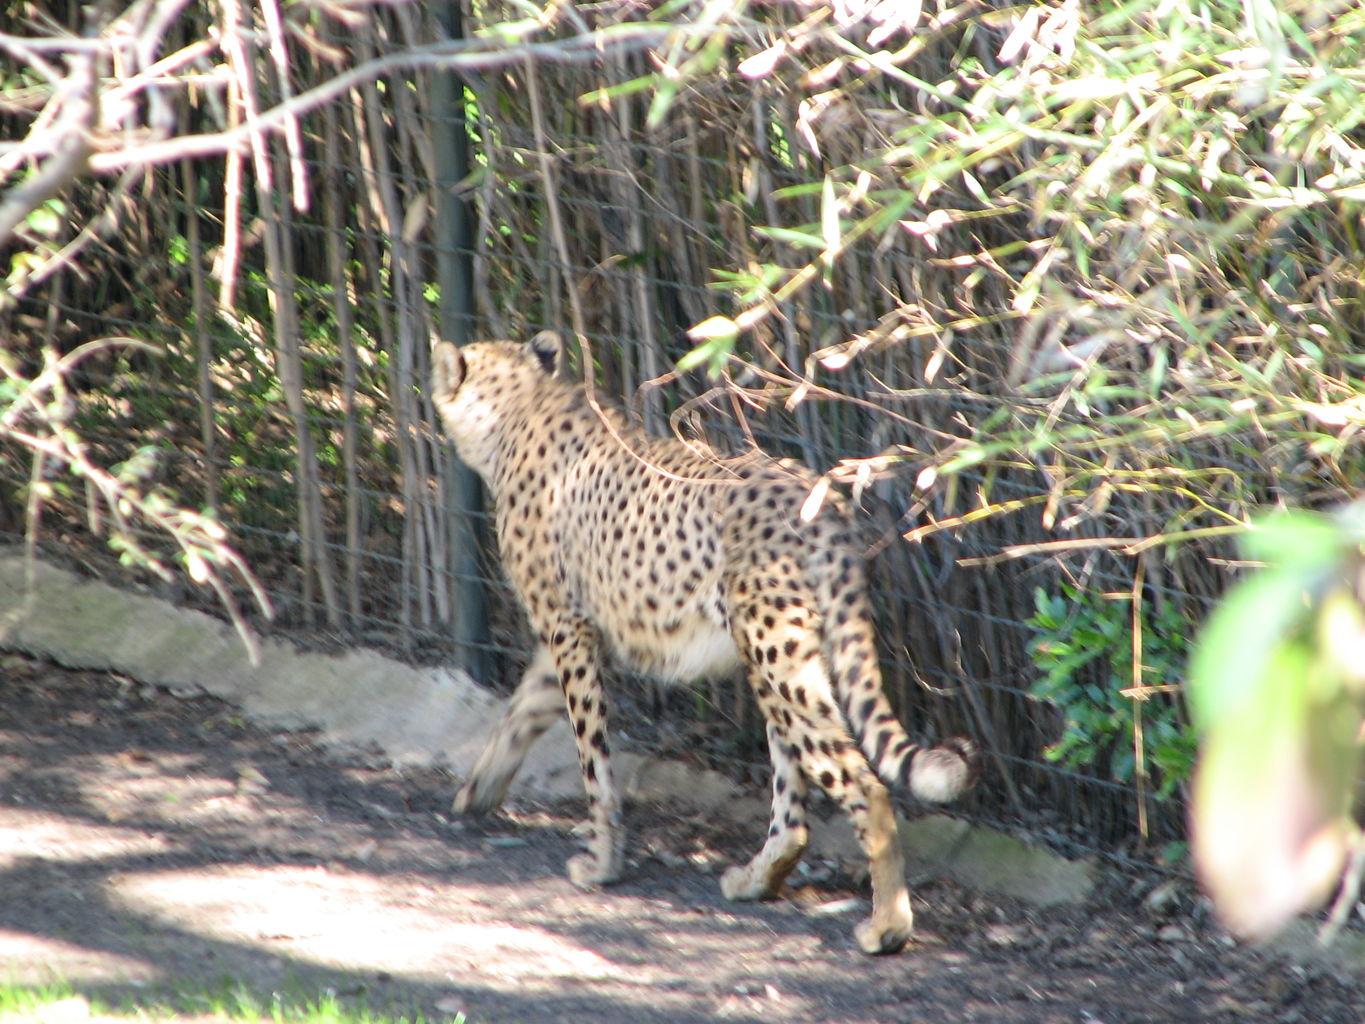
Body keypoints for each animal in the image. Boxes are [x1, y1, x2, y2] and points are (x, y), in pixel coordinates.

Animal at [431, 330, 977, 955]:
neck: (521, 404)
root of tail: (817, 494)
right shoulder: (571, 638)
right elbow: (519, 714)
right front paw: (478, 790)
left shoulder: (569, 631)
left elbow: (592, 758)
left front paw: (601, 863)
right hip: (781, 657)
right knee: (794, 810)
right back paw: (756, 880)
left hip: (773, 651)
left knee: (865, 786)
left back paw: (887, 924)